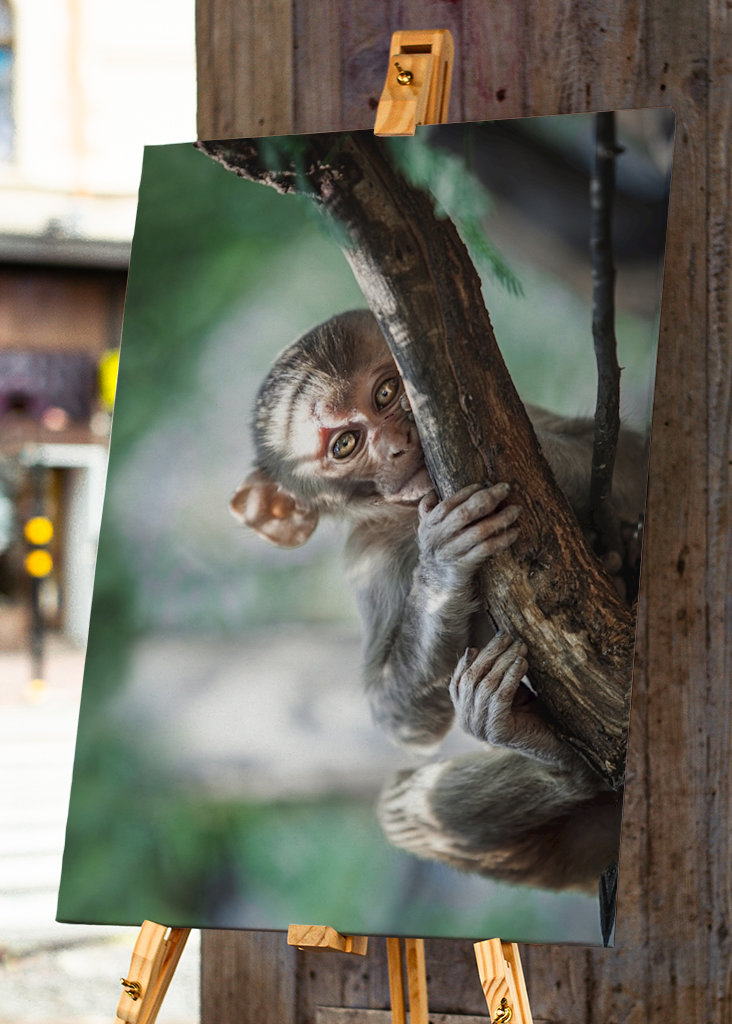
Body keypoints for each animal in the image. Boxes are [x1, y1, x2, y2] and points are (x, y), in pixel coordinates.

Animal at [231, 309, 647, 892]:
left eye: (386, 393)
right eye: (345, 445)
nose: (398, 444)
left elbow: (631, 452)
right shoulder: (371, 563)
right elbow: (401, 719)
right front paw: (443, 567)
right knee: (404, 809)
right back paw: (548, 755)